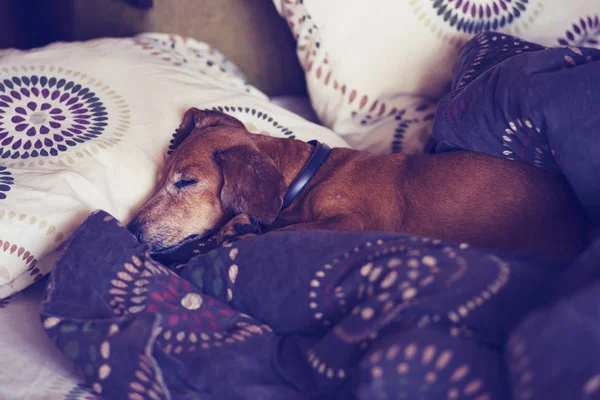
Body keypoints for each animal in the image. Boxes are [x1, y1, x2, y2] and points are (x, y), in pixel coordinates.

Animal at [129, 108, 588, 260]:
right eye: (160, 179)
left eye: (186, 182)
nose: (131, 230)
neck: (308, 177)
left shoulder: (354, 223)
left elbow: (283, 231)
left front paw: (240, 230)